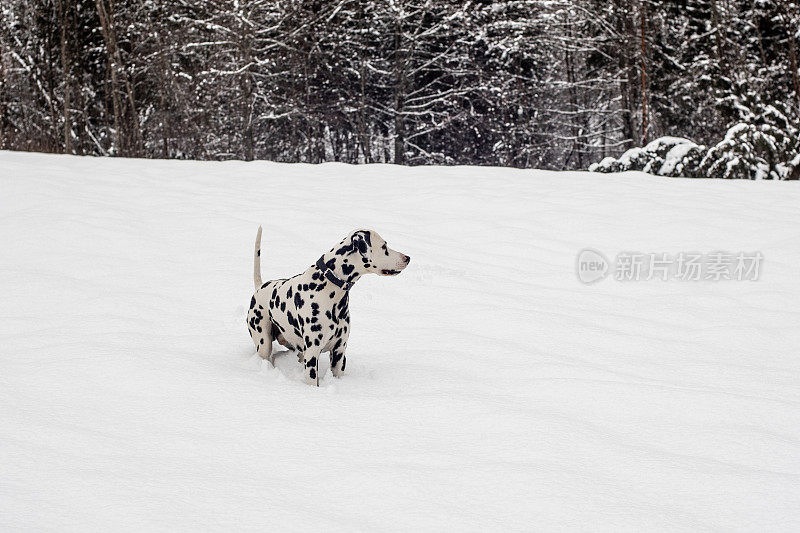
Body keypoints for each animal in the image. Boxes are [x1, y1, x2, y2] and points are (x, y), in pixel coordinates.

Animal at [248, 227, 412, 384]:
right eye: (384, 246)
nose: (408, 258)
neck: (330, 288)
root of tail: (260, 287)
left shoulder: (339, 352)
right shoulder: (312, 353)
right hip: (264, 343)